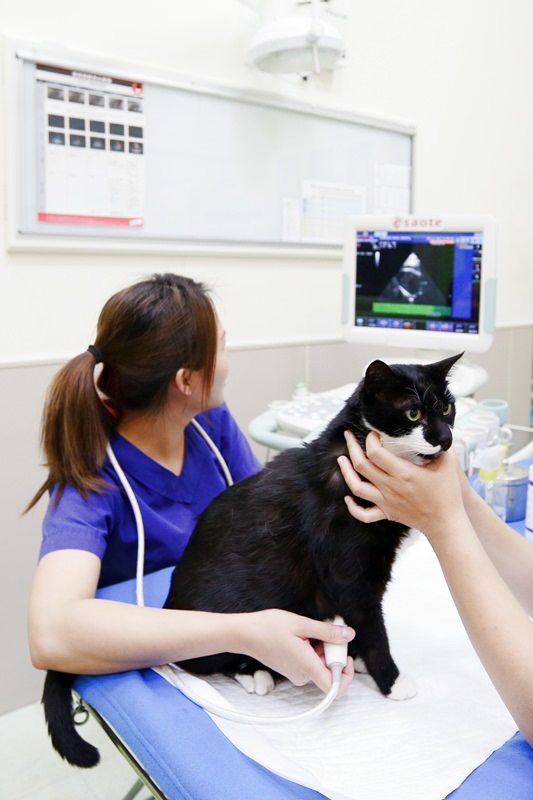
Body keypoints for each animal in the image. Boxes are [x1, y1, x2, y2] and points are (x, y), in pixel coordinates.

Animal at [165, 356, 462, 692]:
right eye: (414, 413)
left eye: (447, 409)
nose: (446, 439)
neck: (354, 456)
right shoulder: (351, 577)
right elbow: (371, 627)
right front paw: (390, 680)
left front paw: (358, 658)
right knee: (205, 659)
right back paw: (255, 672)